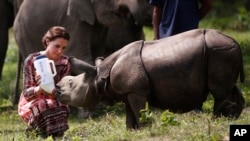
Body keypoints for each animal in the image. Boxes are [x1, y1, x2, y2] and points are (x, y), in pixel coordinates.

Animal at [54, 28, 244, 129]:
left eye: (71, 83)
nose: (56, 90)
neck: (99, 77)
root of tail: (235, 42)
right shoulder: (128, 90)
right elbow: (130, 114)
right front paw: (132, 131)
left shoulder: (136, 90)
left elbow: (140, 111)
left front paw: (146, 128)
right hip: (223, 51)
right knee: (230, 87)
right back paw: (232, 118)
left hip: (219, 51)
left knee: (220, 91)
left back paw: (218, 120)